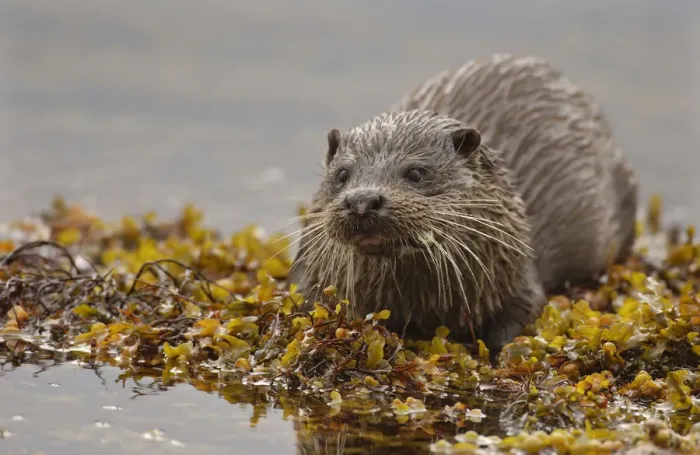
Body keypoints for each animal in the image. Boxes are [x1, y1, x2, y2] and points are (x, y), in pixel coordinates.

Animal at [288, 54, 638, 352]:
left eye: (415, 173)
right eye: (342, 174)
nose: (362, 200)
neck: (420, 303)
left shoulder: (516, 277)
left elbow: (519, 318)